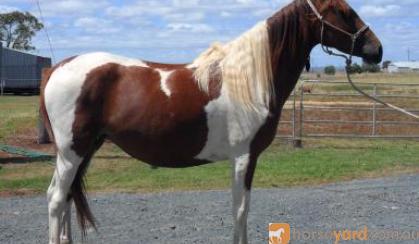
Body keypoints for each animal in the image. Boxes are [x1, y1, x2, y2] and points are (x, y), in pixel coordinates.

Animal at [41, 0, 384, 243]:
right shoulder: (244, 156)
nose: (377, 49)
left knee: (67, 198)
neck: (248, 80)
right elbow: (240, 210)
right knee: (56, 199)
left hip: (86, 150)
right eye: (343, 11)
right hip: (71, 152)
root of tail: (57, 67)